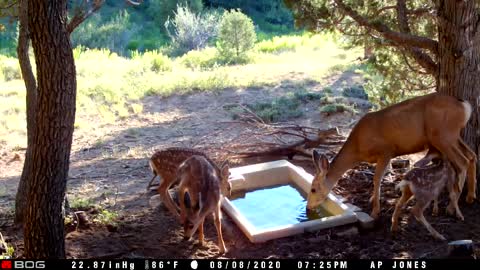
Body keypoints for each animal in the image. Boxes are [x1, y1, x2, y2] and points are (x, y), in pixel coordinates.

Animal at [308, 93, 476, 219]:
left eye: (313, 189)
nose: (308, 207)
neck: (358, 148)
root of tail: (465, 106)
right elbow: (380, 177)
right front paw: (372, 199)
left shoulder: (385, 151)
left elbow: (377, 178)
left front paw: (375, 210)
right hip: (452, 136)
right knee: (472, 155)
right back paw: (470, 197)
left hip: (443, 135)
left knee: (462, 162)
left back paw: (452, 208)